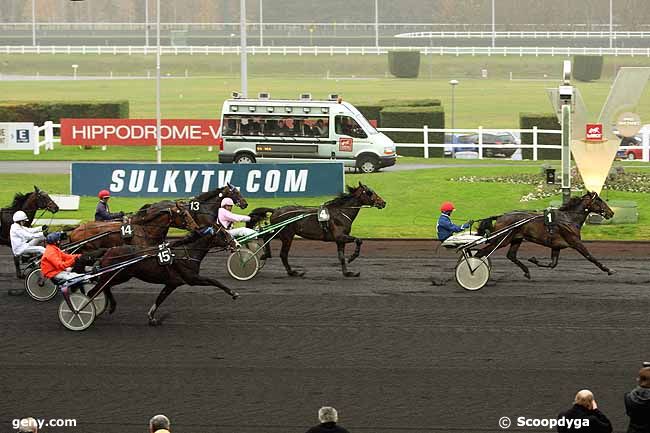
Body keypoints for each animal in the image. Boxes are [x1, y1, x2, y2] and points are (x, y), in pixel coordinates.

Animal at [86, 224, 238, 322]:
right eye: (224, 234)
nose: (236, 245)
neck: (185, 253)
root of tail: (108, 250)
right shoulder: (192, 278)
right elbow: (214, 281)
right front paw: (233, 293)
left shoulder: (172, 283)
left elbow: (160, 298)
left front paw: (151, 317)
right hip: (117, 275)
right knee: (95, 290)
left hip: (121, 276)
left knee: (104, 287)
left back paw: (110, 306)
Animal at [246, 181, 382, 276]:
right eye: (370, 192)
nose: (383, 202)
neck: (341, 212)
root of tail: (276, 210)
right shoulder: (340, 236)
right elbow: (359, 240)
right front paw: (352, 257)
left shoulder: (340, 240)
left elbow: (341, 257)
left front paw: (348, 273)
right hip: (287, 235)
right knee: (283, 254)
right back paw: (292, 272)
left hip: (281, 233)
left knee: (266, 236)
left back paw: (266, 255)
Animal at [474, 192, 616, 278]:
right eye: (599, 201)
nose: (611, 213)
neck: (569, 218)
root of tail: (500, 216)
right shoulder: (575, 242)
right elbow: (590, 256)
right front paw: (608, 269)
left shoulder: (556, 246)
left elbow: (553, 264)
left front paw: (533, 260)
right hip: (502, 240)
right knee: (481, 252)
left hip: (516, 239)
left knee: (511, 255)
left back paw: (527, 272)